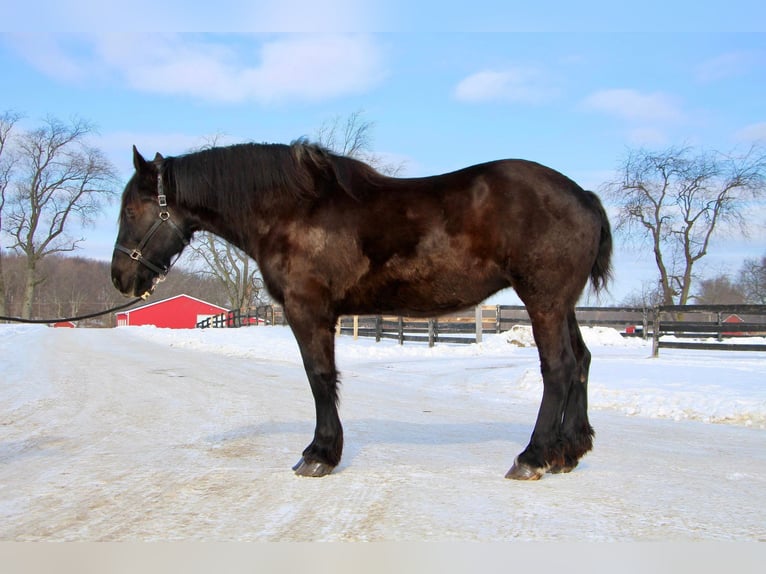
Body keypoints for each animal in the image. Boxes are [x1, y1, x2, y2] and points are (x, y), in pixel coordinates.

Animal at [112, 143, 612, 482]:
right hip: (561, 306)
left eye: (132, 209)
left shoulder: (308, 311)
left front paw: (319, 454)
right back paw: (569, 451)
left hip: (543, 301)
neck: (292, 210)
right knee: (581, 362)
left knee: (558, 368)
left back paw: (533, 456)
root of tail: (583, 195)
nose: (120, 277)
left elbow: (319, 378)